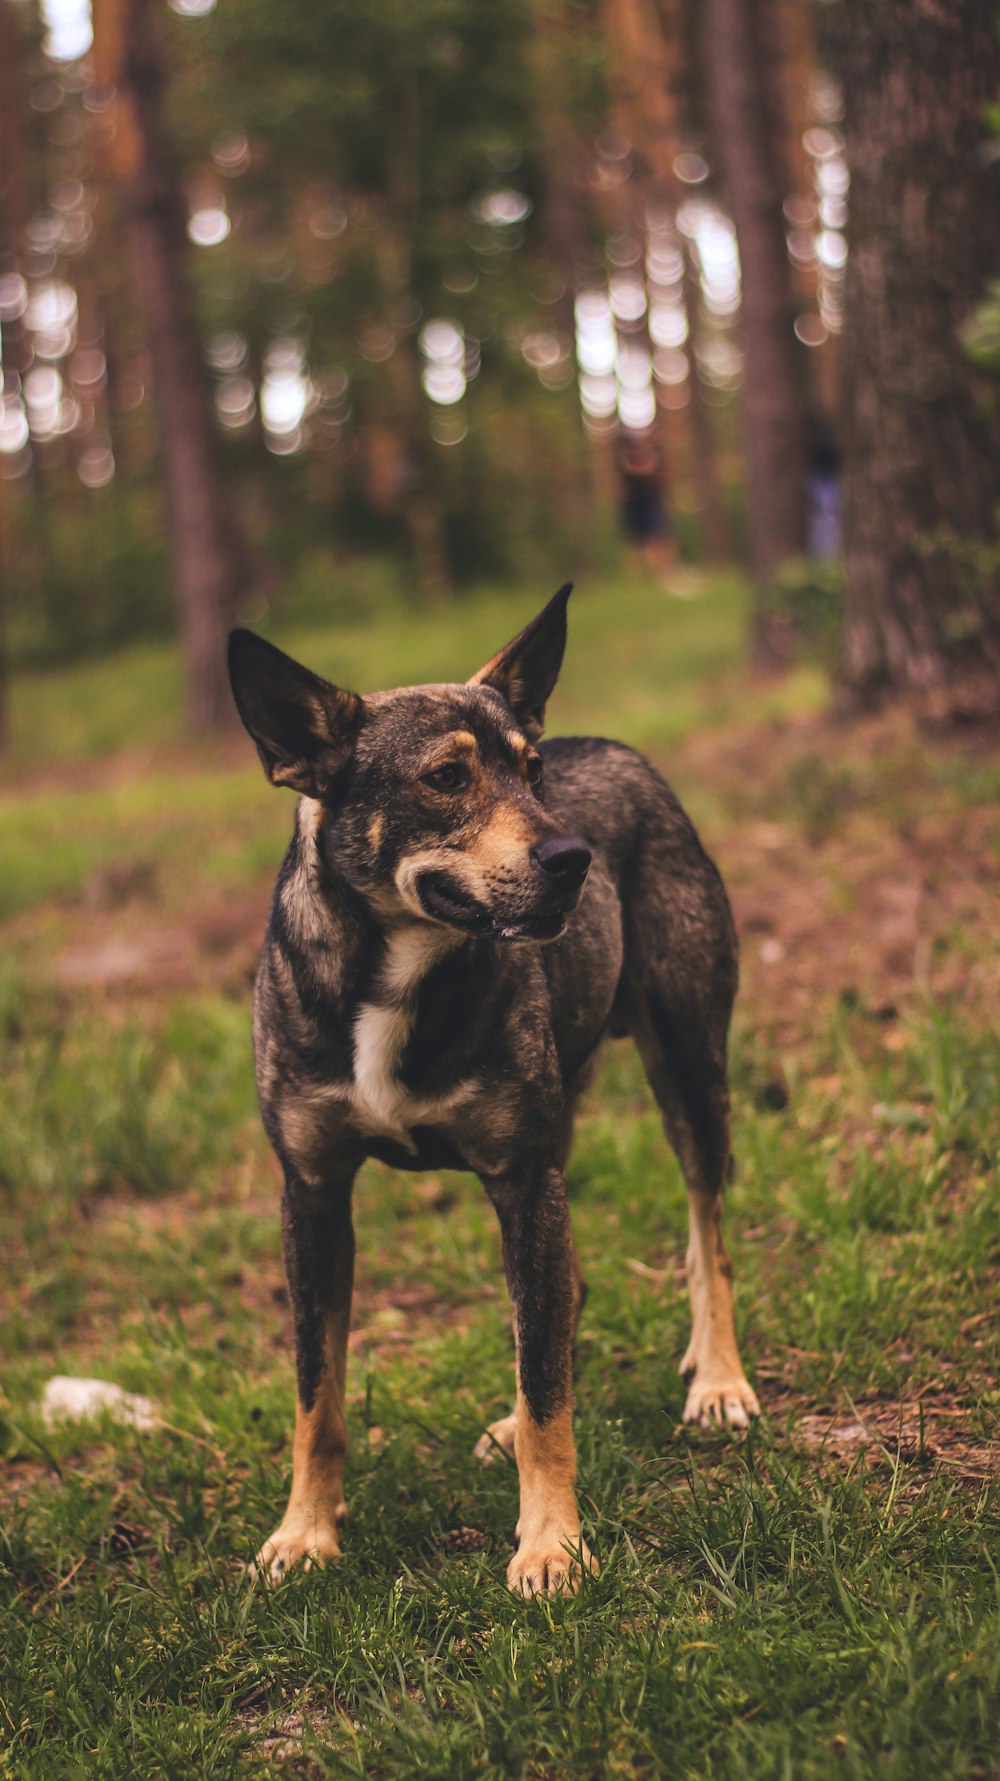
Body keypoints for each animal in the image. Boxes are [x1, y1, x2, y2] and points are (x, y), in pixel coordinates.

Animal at [226, 584, 755, 1602]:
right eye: (444, 778)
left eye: (532, 770)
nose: (575, 856)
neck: (397, 971)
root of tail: (621, 750)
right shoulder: (312, 1191)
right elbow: (318, 1392)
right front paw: (304, 1533)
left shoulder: (521, 1172)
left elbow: (548, 1387)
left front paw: (552, 1543)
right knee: (560, 1301)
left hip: (687, 1061)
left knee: (705, 1229)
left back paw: (719, 1380)